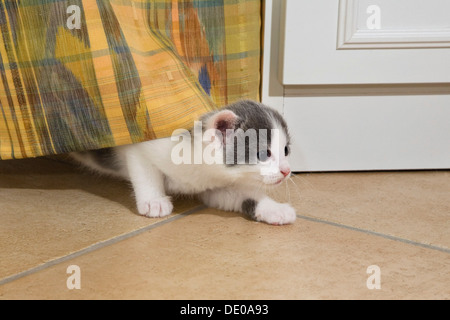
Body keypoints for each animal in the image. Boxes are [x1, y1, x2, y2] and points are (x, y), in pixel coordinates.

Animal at [69, 100, 296, 225]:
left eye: (286, 150)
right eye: (263, 154)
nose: (286, 171)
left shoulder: (214, 185)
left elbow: (241, 195)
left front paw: (274, 209)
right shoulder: (142, 145)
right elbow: (145, 171)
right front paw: (154, 201)